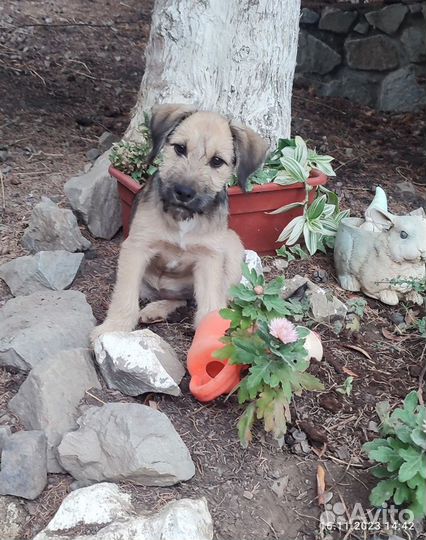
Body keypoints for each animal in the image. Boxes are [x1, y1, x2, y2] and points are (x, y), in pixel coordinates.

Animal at [91, 104, 268, 342]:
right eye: (180, 148)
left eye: (217, 161)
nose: (184, 192)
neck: (184, 218)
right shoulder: (136, 248)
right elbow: (124, 297)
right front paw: (112, 328)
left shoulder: (209, 258)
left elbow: (210, 305)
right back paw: (154, 310)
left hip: (232, 246)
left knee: (209, 299)